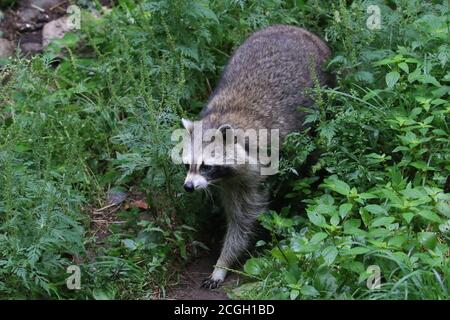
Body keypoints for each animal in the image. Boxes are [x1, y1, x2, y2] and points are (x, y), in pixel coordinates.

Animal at [179, 25, 330, 288]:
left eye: (206, 166)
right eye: (188, 165)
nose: (189, 187)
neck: (222, 116)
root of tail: (294, 28)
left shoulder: (255, 173)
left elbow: (244, 220)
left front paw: (223, 262)